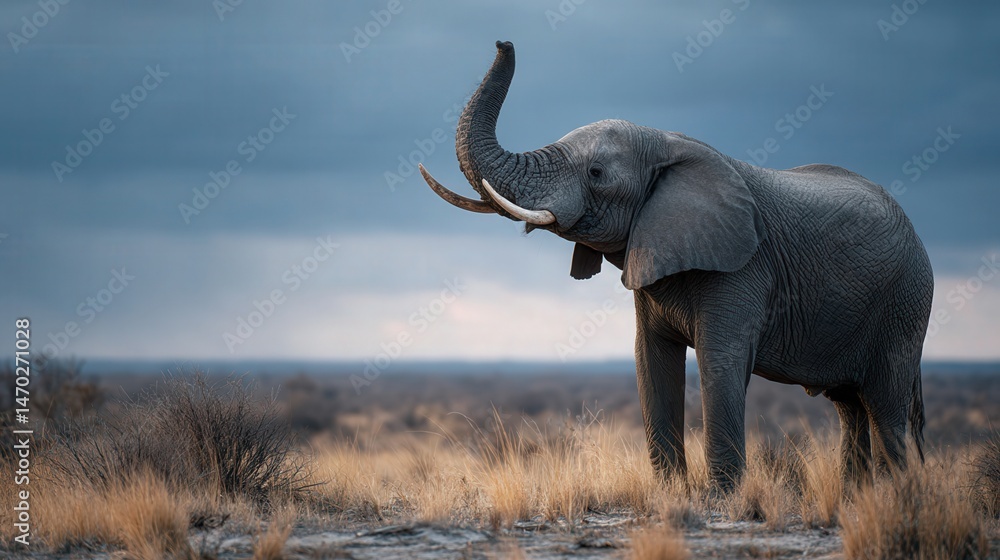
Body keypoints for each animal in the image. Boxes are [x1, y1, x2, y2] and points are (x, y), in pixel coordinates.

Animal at [420, 41, 934, 489]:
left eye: (596, 173)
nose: (503, 41)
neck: (664, 143)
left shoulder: (744, 268)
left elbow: (719, 363)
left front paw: (721, 500)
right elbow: (651, 362)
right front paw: (673, 494)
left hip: (905, 306)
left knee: (884, 408)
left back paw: (895, 497)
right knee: (850, 407)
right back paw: (855, 496)